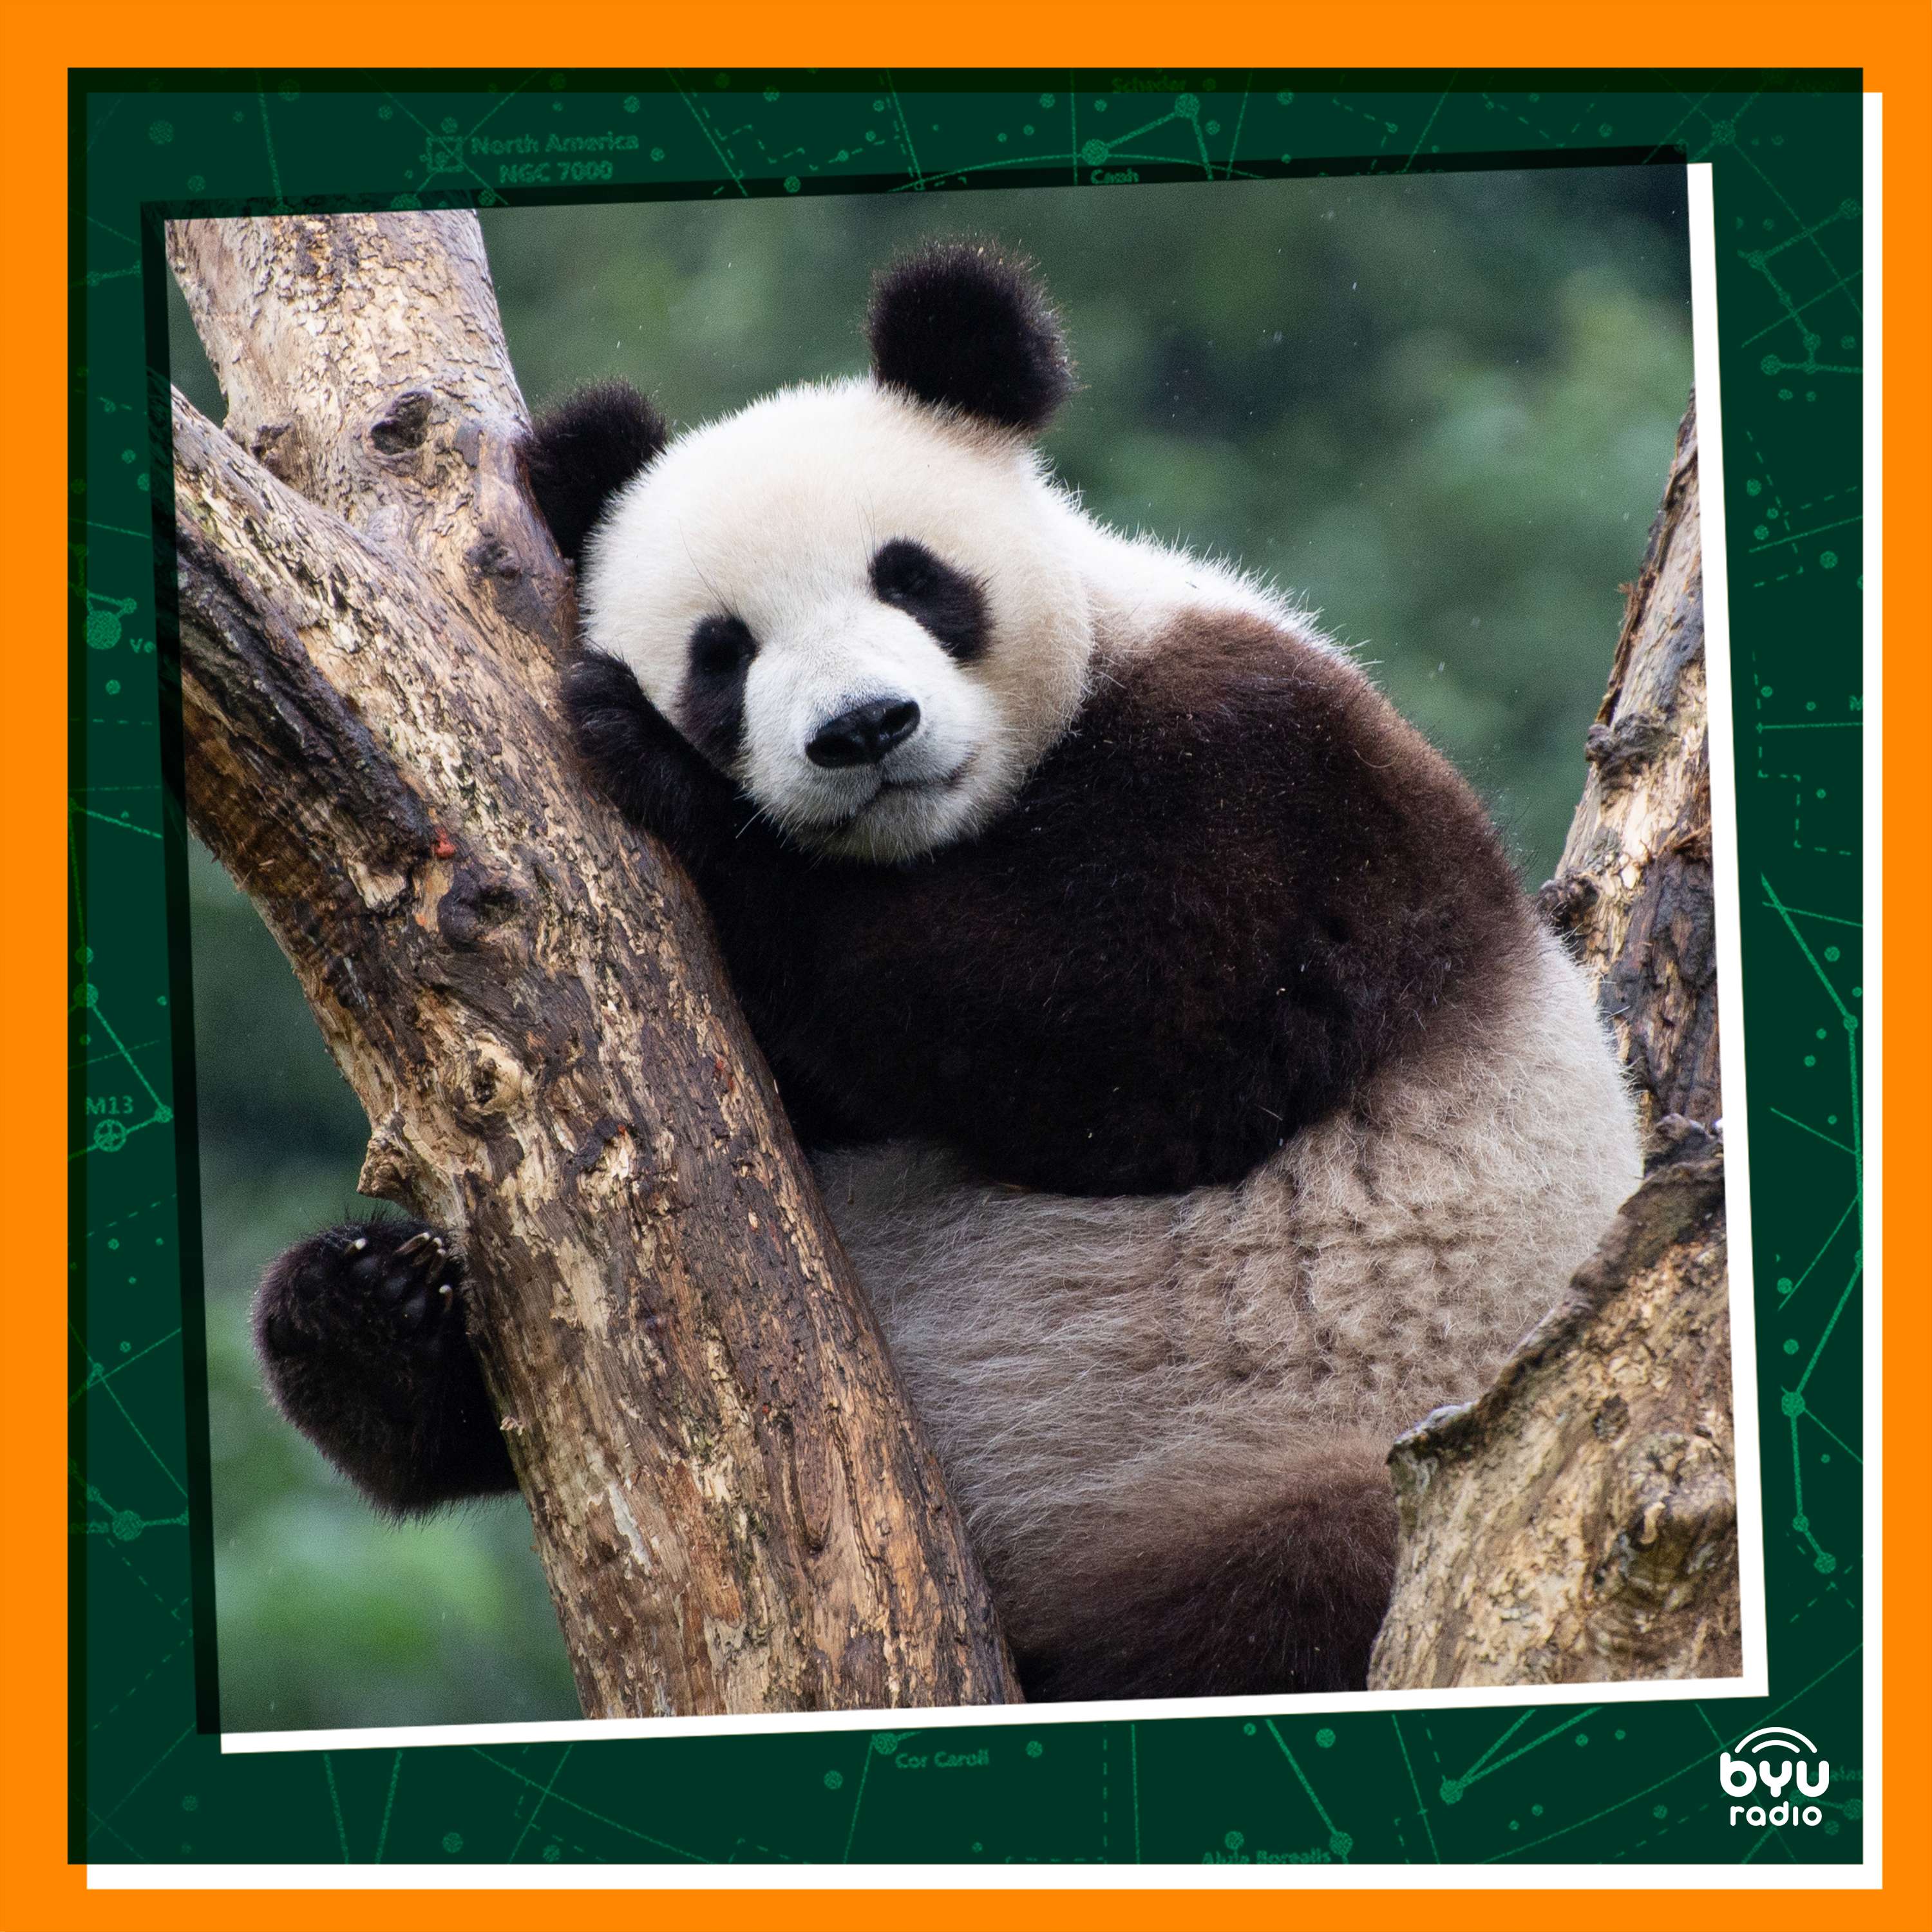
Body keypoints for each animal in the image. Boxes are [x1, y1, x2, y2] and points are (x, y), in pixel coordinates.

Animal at [255, 239, 1642, 1703]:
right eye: (723, 649)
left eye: (914, 579)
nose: (865, 729)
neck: (949, 833)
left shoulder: (1289, 779)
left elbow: (1141, 1030)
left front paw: (670, 781)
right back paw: (368, 1318)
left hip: (1294, 1455)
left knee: (1290, 1597)